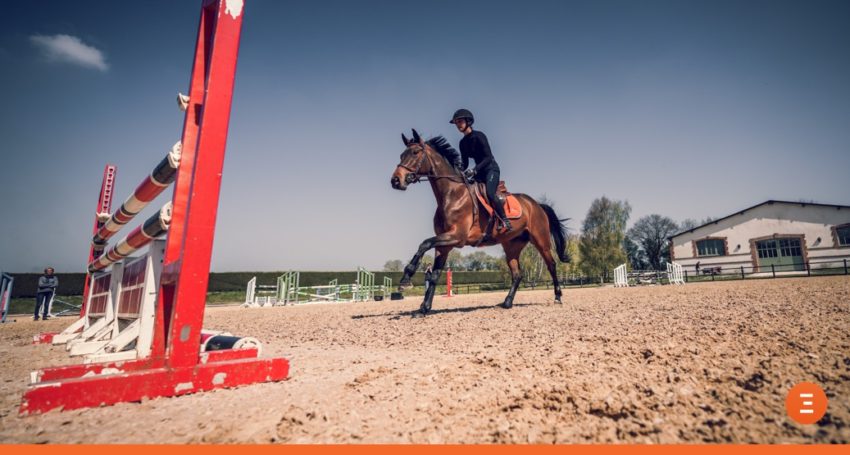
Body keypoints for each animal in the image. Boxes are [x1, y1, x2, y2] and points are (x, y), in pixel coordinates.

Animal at [390, 130, 568, 318]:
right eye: (402, 155)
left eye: (415, 152)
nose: (396, 180)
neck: (451, 195)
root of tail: (536, 204)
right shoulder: (444, 245)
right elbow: (434, 275)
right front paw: (424, 308)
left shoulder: (456, 237)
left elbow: (424, 243)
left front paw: (406, 279)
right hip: (511, 246)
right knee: (517, 274)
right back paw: (507, 302)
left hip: (541, 240)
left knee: (551, 265)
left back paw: (557, 296)